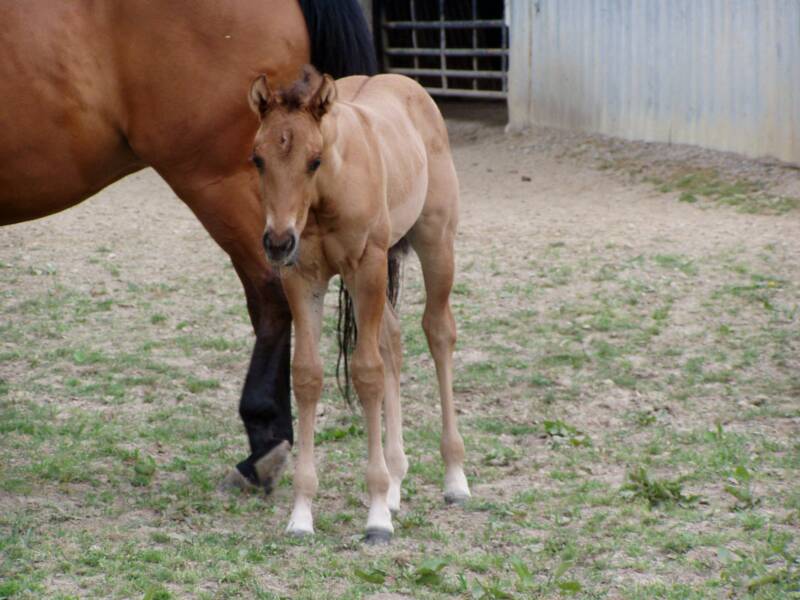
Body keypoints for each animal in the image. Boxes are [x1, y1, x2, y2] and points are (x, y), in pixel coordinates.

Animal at [247, 67, 466, 544]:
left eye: (314, 160)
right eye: (257, 159)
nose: (277, 242)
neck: (325, 196)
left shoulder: (366, 266)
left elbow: (367, 374)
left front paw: (377, 515)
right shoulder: (302, 277)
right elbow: (307, 376)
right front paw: (301, 514)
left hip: (434, 242)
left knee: (438, 331)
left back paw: (455, 478)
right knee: (393, 341)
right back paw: (398, 479)